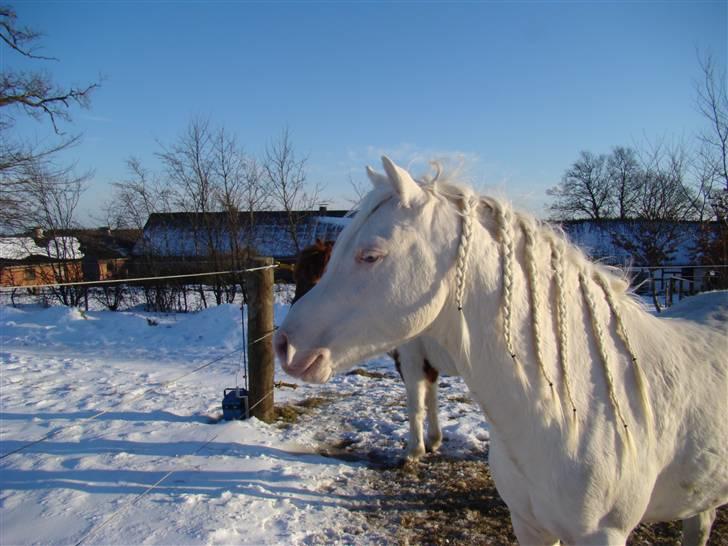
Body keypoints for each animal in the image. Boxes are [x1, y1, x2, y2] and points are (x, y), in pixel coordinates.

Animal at [292, 239, 459, 460]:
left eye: (314, 275)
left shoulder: (411, 359)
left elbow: (416, 403)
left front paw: (414, 451)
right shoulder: (427, 363)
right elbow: (430, 399)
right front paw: (433, 440)